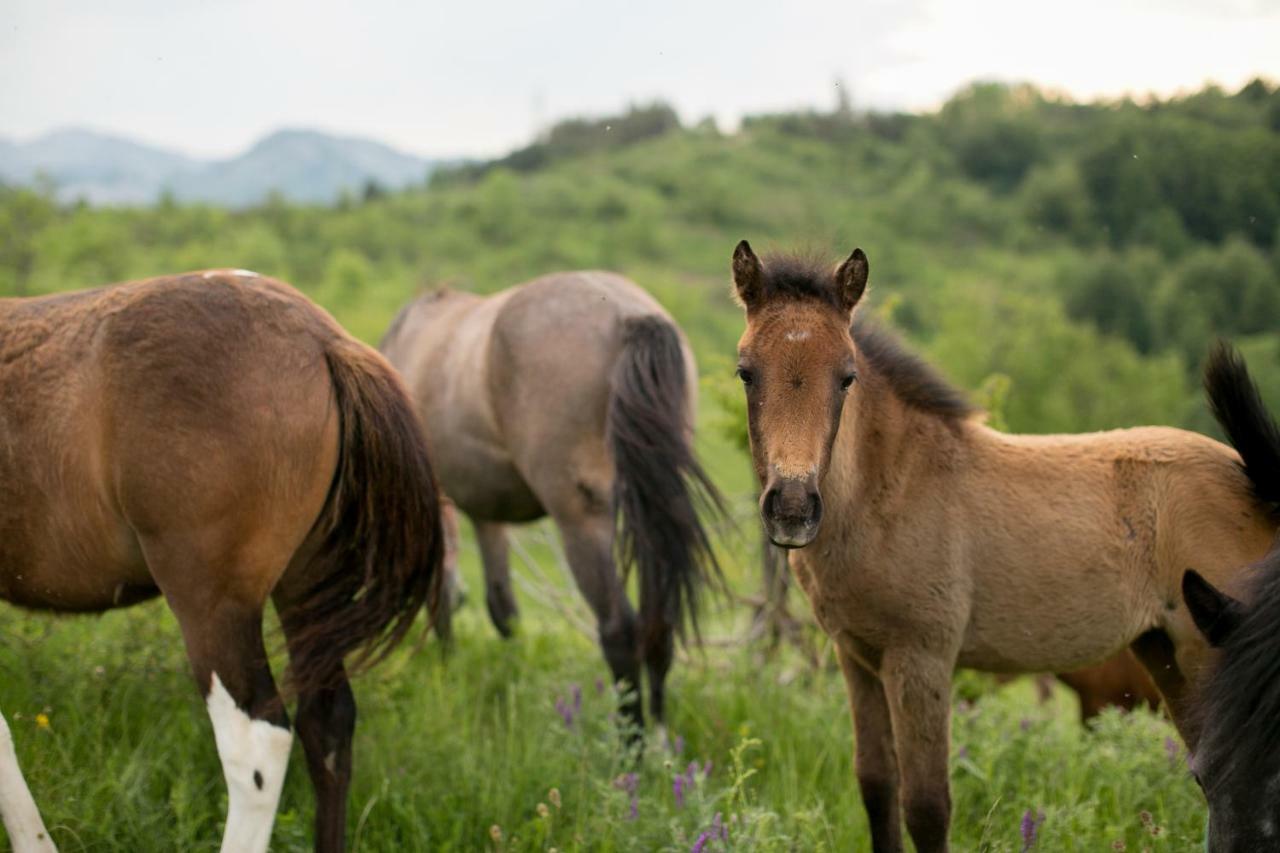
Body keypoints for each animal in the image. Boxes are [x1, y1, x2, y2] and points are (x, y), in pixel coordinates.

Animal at [378, 268, 721, 727]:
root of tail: (628, 315)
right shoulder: (488, 511)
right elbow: (501, 606)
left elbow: (447, 592)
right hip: (653, 508)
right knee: (658, 628)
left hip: (582, 520)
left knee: (619, 630)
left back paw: (630, 740)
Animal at [732, 239, 1280, 850]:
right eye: (746, 372)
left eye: (846, 377)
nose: (793, 506)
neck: (892, 487)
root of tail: (1253, 480)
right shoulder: (857, 657)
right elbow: (876, 786)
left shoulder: (922, 658)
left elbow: (926, 805)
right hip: (1167, 656)